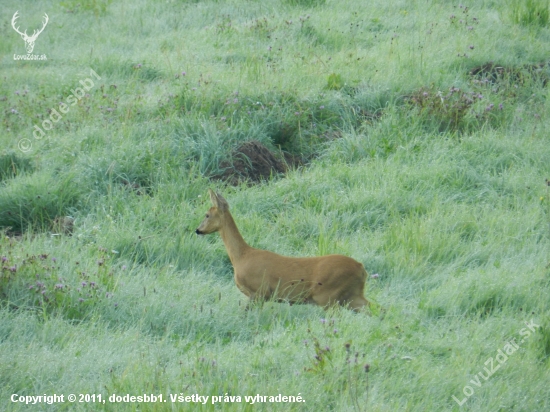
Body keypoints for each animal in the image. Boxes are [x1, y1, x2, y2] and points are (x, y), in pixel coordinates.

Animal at [194, 190, 370, 312]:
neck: (241, 257)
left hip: (328, 295)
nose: (197, 230)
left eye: (207, 215)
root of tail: (361, 268)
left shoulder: (259, 292)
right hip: (352, 295)